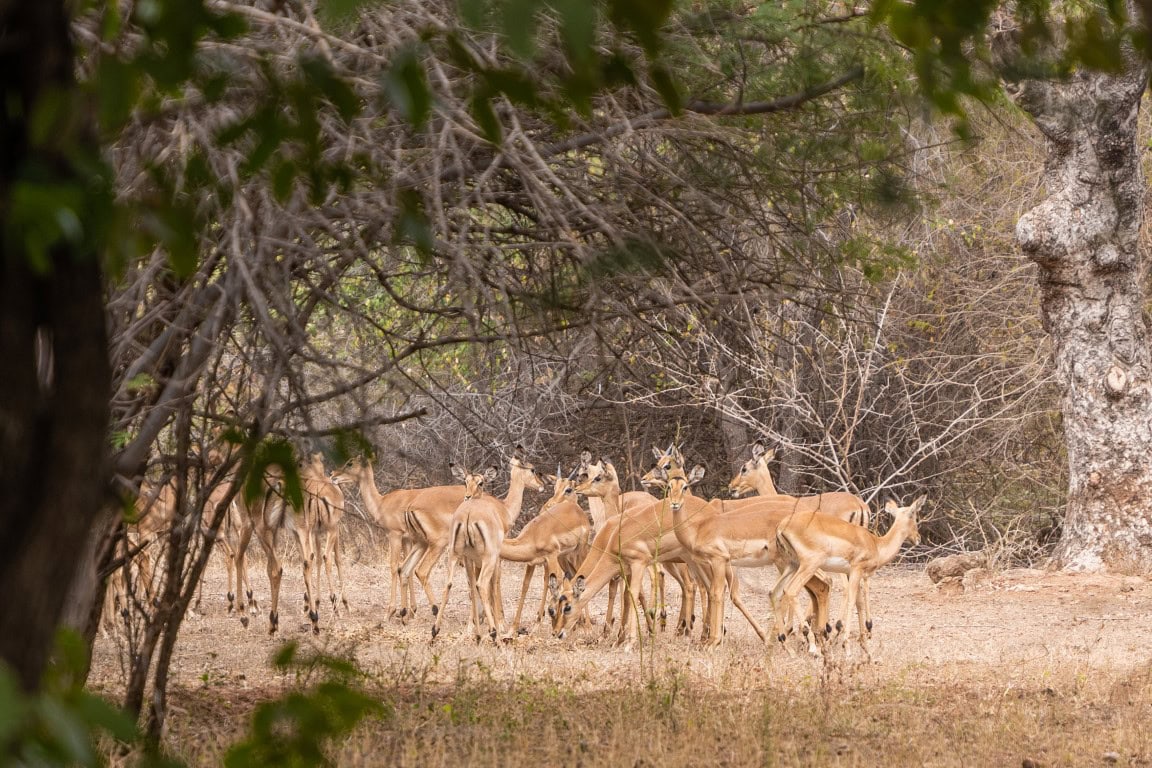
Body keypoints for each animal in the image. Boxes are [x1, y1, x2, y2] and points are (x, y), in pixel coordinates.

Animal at [431, 453, 544, 642]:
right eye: (532, 469)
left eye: (479, 482)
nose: (541, 485)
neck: (505, 508)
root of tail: (468, 515)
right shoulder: (497, 557)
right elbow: (495, 584)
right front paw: (500, 623)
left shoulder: (471, 559)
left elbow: (473, 586)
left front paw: (475, 626)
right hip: (488, 557)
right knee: (482, 584)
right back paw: (493, 633)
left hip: (455, 555)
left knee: (452, 584)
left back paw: (436, 631)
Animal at [772, 496, 926, 658]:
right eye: (914, 515)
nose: (918, 538)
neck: (876, 544)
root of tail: (782, 525)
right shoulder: (856, 570)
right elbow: (852, 601)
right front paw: (847, 647)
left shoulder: (853, 574)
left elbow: (859, 603)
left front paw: (866, 648)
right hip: (809, 565)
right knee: (791, 590)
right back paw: (813, 647)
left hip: (792, 565)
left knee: (775, 592)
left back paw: (787, 644)